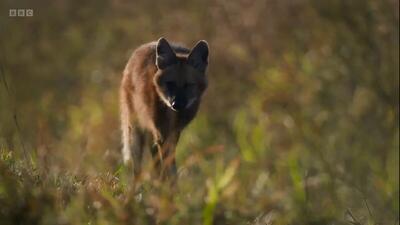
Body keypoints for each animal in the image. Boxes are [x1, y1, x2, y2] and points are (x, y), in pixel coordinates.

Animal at [119, 37, 209, 180]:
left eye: (188, 85)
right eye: (170, 83)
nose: (176, 104)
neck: (173, 116)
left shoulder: (173, 133)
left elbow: (170, 168)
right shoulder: (161, 134)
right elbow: (167, 168)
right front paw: (166, 185)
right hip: (136, 131)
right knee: (137, 169)